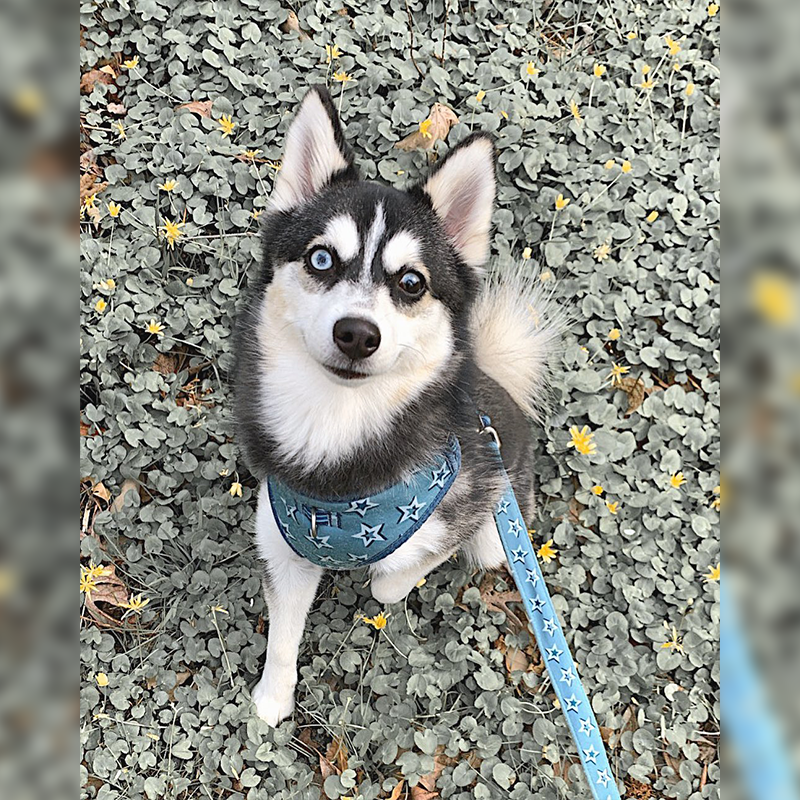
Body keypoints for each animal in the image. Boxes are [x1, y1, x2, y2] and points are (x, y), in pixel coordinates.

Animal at [233, 87, 564, 724]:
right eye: (321, 259)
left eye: (411, 282)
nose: (357, 334)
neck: (336, 430)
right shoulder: (282, 549)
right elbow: (283, 637)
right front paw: (271, 700)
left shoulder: (463, 512)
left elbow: (394, 576)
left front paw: (379, 580)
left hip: (500, 534)